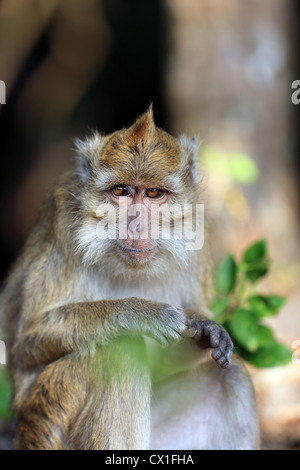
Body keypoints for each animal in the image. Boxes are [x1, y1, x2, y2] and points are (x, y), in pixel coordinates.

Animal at [0, 105, 258, 448]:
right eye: (120, 191)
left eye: (153, 193)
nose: (135, 224)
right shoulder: (62, 224)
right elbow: (26, 343)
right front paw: (137, 312)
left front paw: (204, 326)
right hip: (46, 418)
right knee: (119, 354)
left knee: (231, 377)